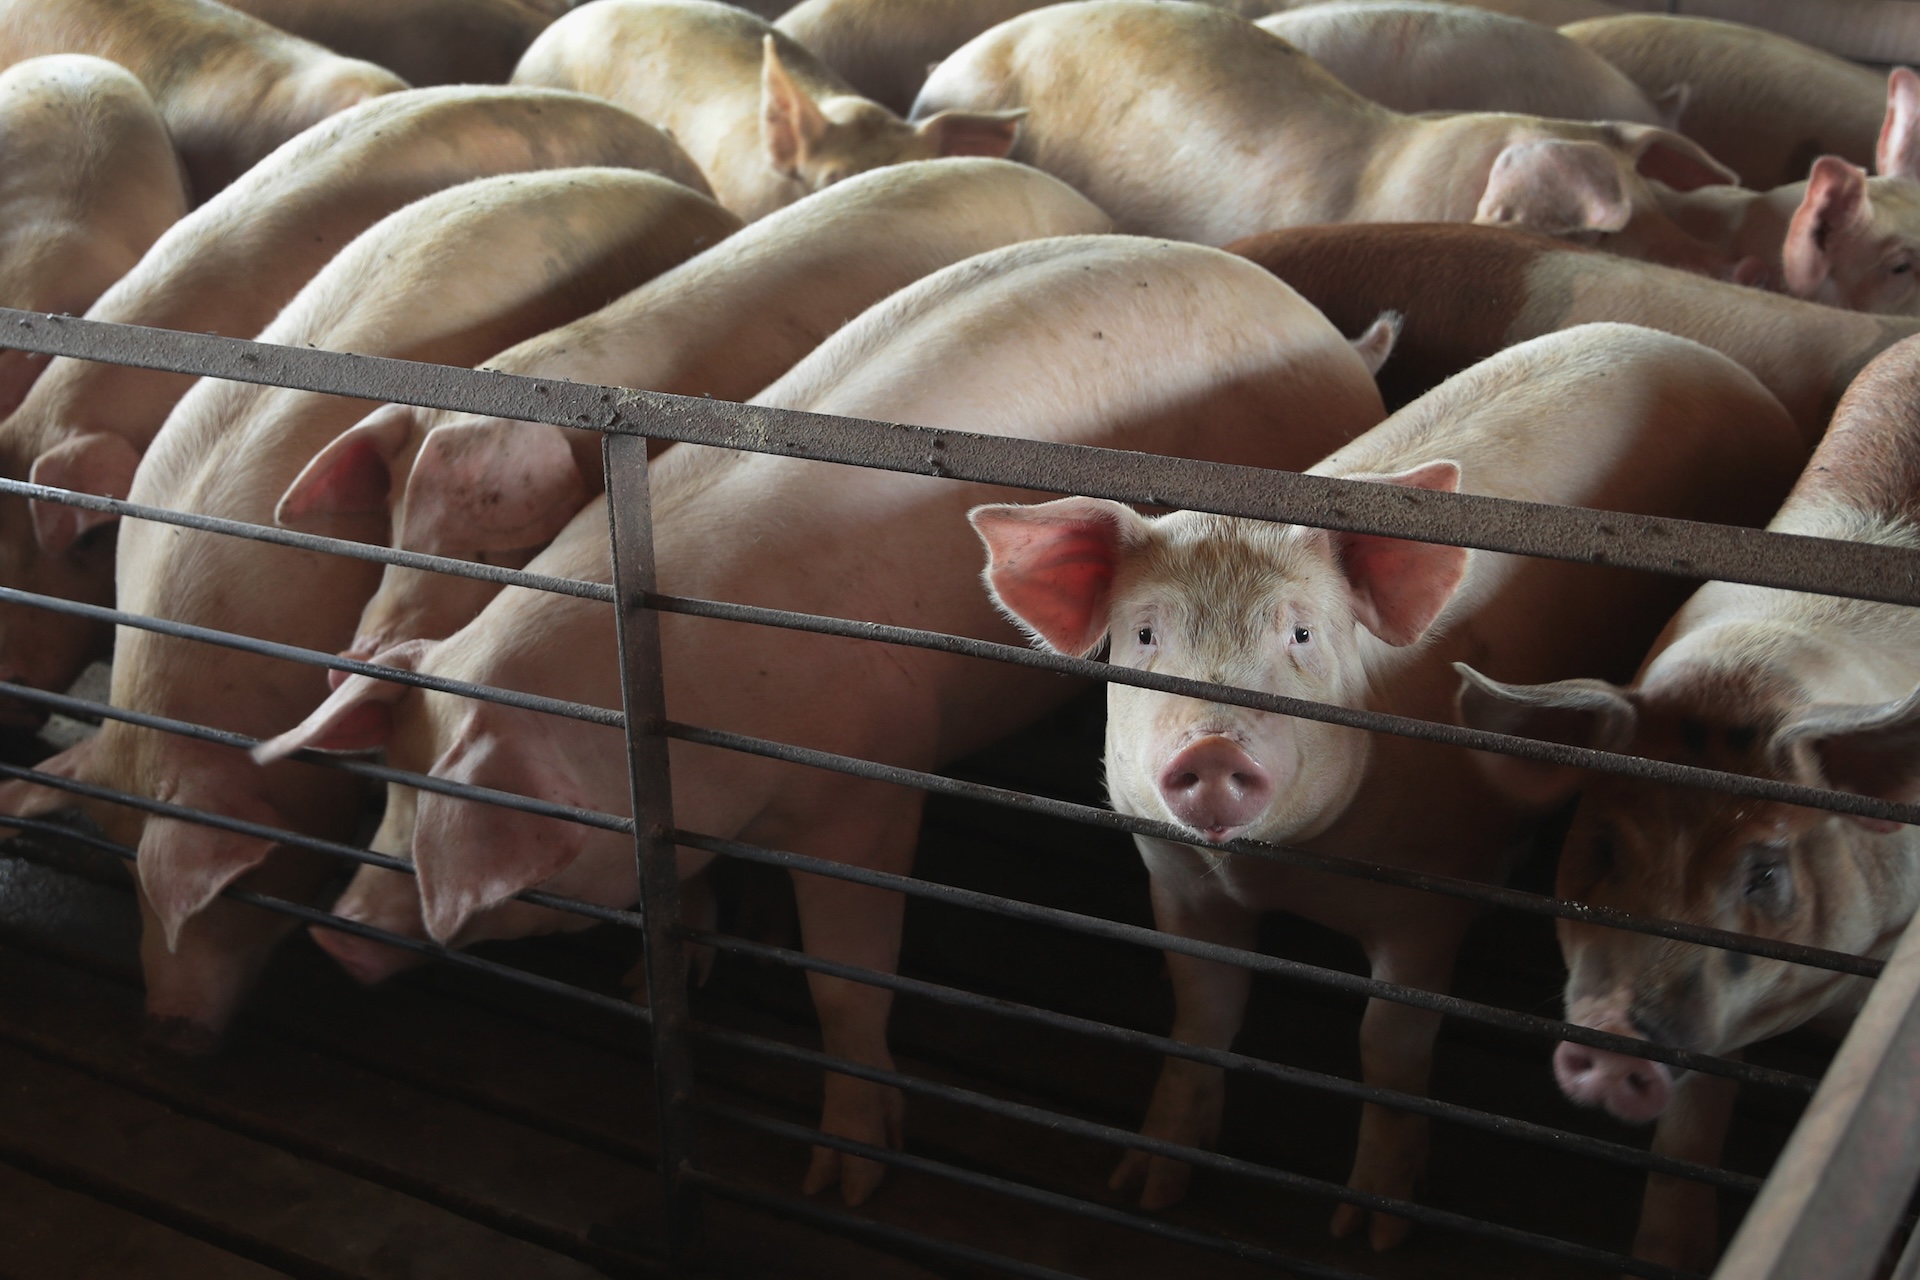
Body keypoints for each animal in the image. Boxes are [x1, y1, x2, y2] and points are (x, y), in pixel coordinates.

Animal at [252, 233, 1398, 1205]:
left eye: (454, 815)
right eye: (392, 787)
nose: (338, 931)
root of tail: (1326, 331)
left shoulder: (866, 799)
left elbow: (845, 983)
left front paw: (844, 1177)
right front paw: (662, 972)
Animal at [971, 324, 1806, 1247]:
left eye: (1302, 634)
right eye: (1147, 634)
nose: (1216, 747)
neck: (1274, 870)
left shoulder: (1429, 899)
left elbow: (1389, 1046)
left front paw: (1366, 1231)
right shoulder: (1177, 878)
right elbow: (1202, 1014)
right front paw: (1145, 1187)